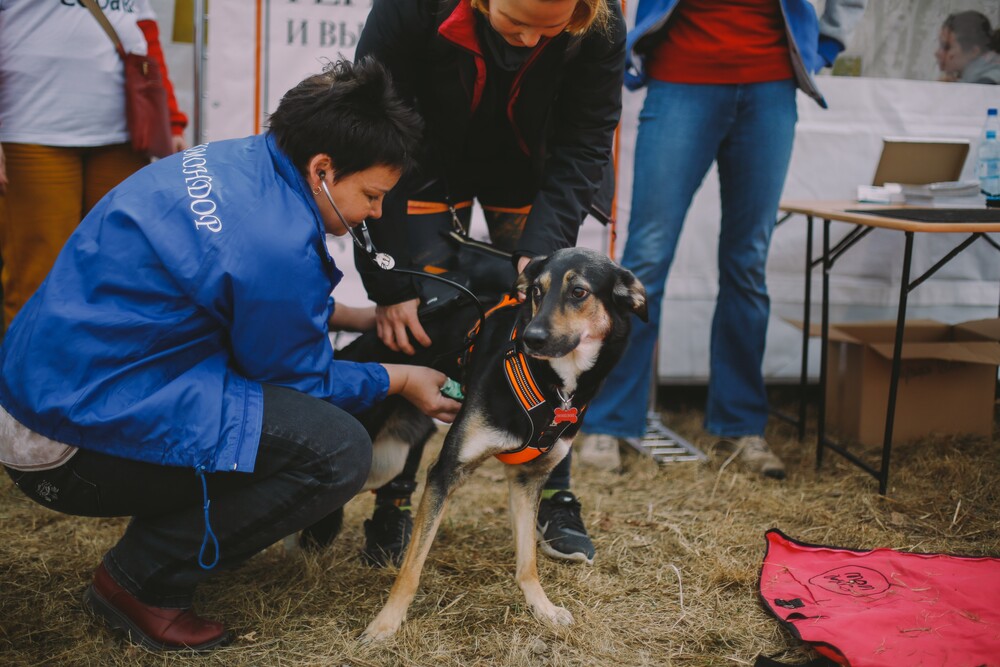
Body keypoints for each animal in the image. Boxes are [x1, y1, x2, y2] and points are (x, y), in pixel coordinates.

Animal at [360, 247, 648, 640]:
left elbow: (528, 560)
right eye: (537, 291)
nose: (532, 338)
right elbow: (412, 566)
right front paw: (386, 622)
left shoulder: (529, 479)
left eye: (579, 292)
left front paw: (542, 607)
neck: (554, 385)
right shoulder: (446, 471)